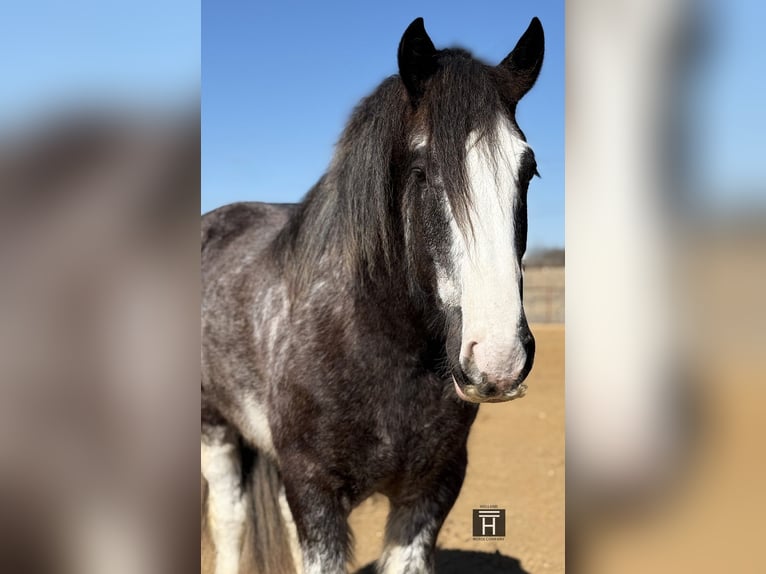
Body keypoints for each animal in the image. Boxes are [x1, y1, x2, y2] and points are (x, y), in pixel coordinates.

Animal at [201, 17, 544, 574]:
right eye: (422, 171)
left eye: (527, 171)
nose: (499, 359)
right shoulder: (314, 493)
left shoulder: (429, 492)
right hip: (215, 429)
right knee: (229, 522)